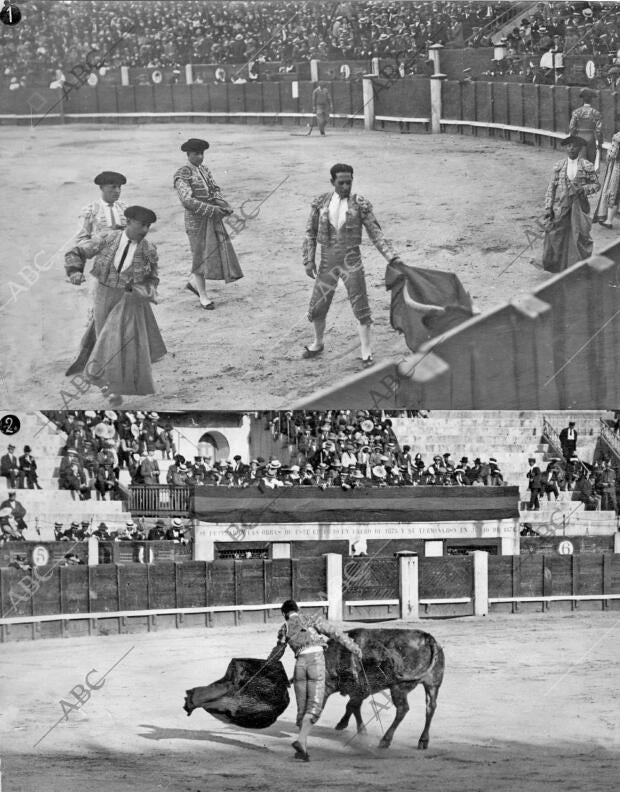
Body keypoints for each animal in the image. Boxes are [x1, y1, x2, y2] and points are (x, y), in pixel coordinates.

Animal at [182, 624, 444, 748]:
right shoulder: (358, 689)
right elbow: (353, 706)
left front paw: (347, 727)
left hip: (399, 687)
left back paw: (386, 741)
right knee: (430, 708)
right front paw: (351, 727)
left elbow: (351, 705)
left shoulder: (342, 687)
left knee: (403, 709)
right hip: (432, 684)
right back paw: (423, 741)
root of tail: (428, 638)